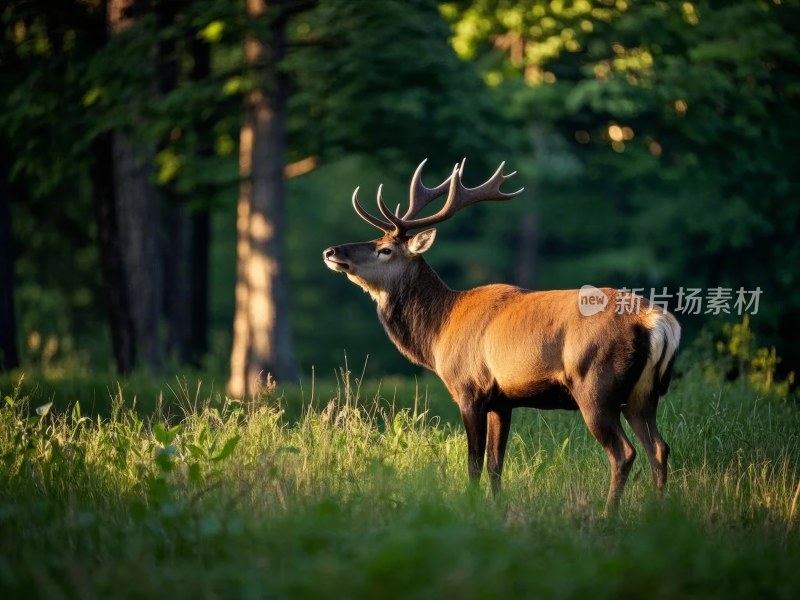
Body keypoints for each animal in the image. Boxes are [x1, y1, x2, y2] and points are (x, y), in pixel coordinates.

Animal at [322, 159, 680, 510]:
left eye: (384, 249)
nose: (331, 251)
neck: (439, 332)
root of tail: (658, 321)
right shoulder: (502, 400)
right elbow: (496, 463)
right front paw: (496, 509)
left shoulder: (470, 388)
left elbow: (474, 463)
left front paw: (471, 507)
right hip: (642, 394)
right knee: (659, 448)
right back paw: (658, 512)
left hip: (596, 385)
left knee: (624, 453)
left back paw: (608, 515)